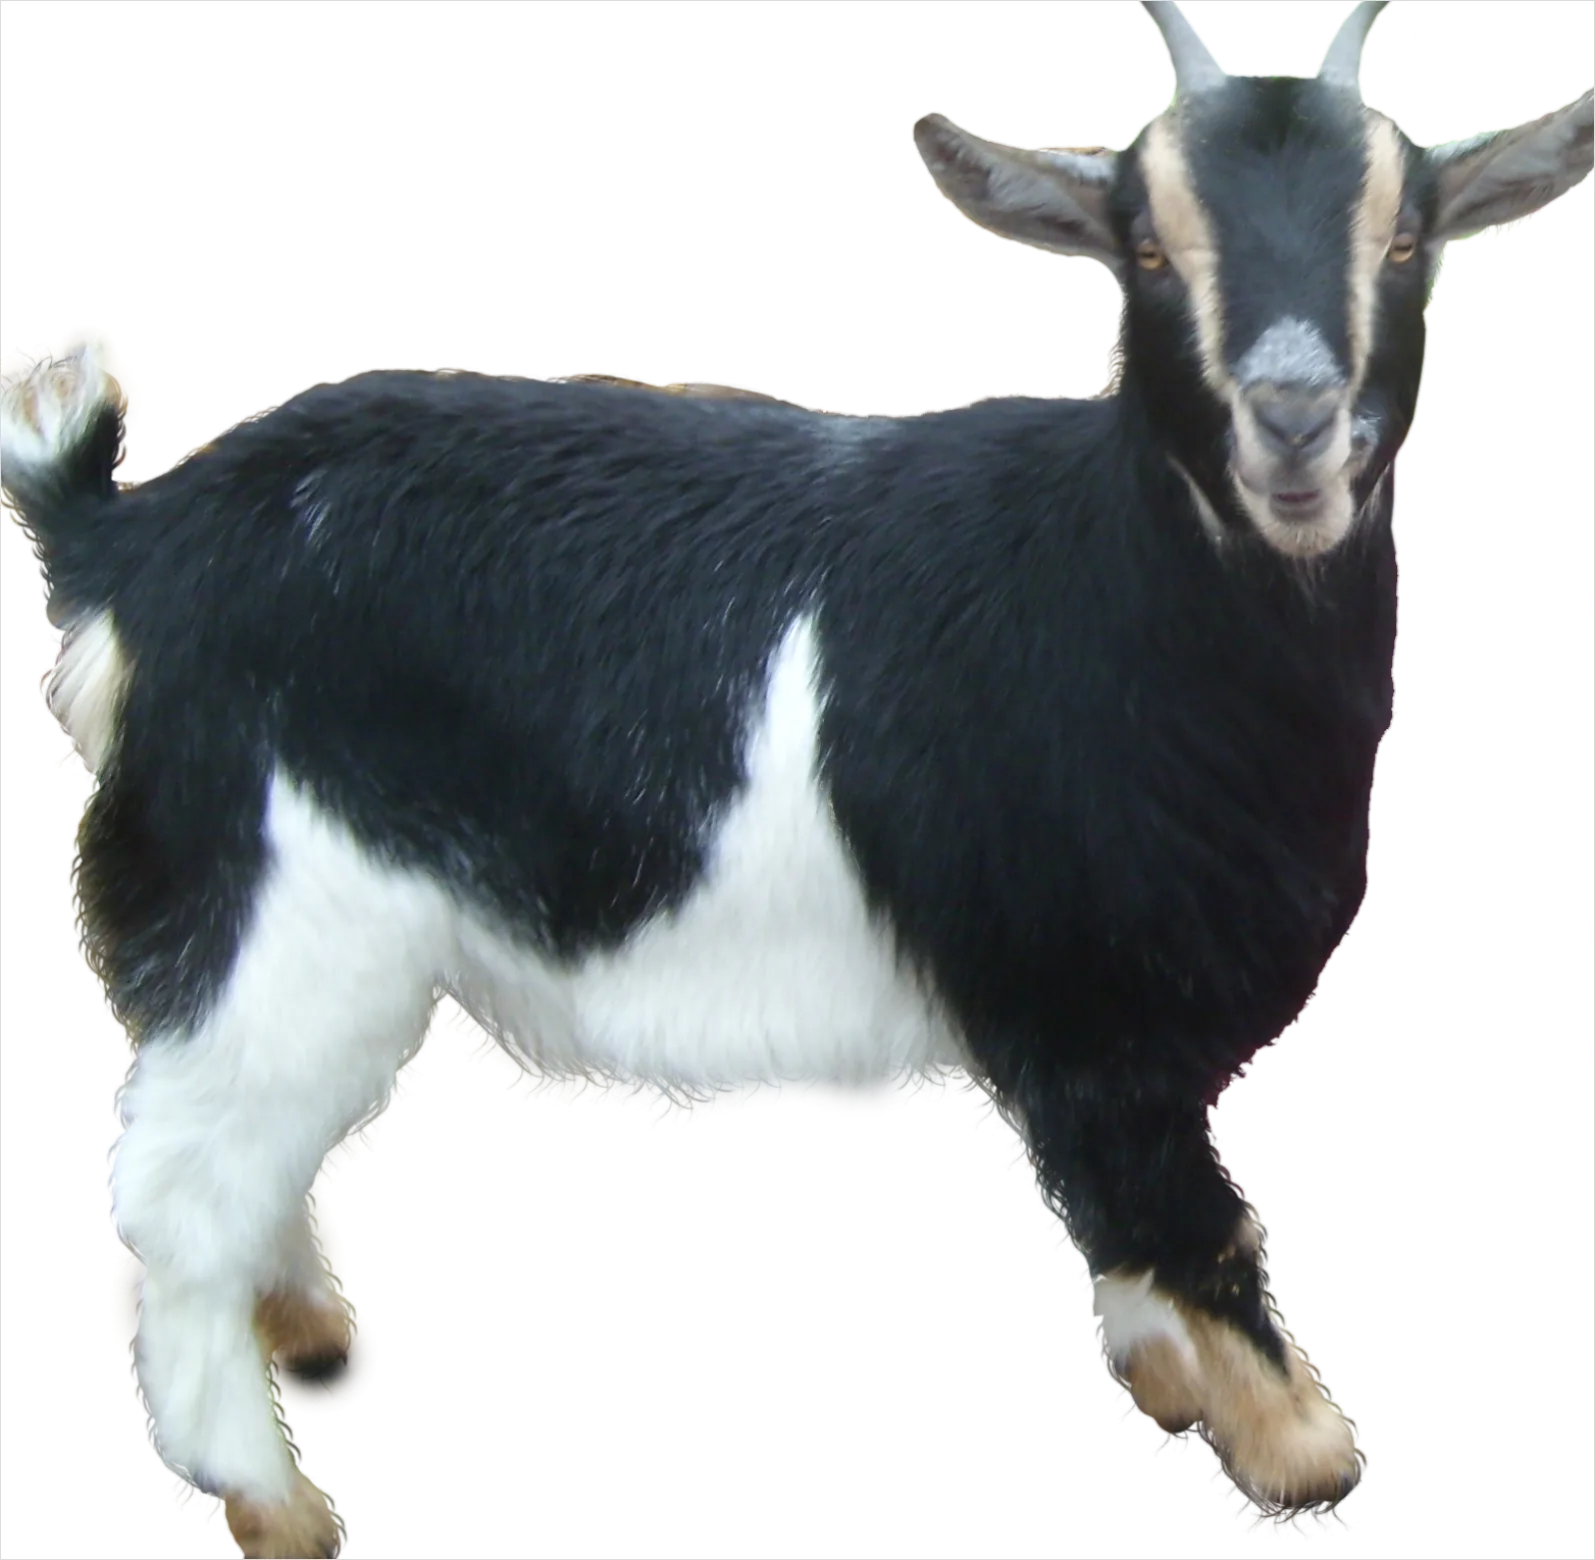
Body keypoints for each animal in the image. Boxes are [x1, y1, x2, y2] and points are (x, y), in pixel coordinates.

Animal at [4, 4, 1591, 1553]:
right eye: (1145, 246)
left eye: (1404, 236)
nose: (1290, 417)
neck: (1123, 589)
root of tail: (134, 545)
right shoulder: (1088, 1011)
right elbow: (1192, 1224)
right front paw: (1300, 1459)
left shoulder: (1072, 1036)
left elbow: (1126, 1231)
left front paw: (1166, 1380)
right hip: (270, 902)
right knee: (182, 1191)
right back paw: (262, 1490)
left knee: (253, 1150)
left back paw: (311, 1344)